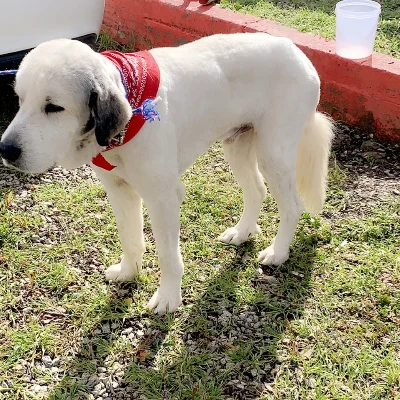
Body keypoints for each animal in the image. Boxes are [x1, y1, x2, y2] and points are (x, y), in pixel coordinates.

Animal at [0, 32, 334, 314]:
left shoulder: (163, 198)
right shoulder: (119, 190)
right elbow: (130, 238)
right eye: (20, 100)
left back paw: (278, 252)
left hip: (272, 153)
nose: (5, 149)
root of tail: (297, 52)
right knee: (257, 190)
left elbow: (168, 256)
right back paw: (242, 232)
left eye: (53, 107)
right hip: (237, 146)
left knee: (292, 205)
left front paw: (169, 297)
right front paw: (129, 272)